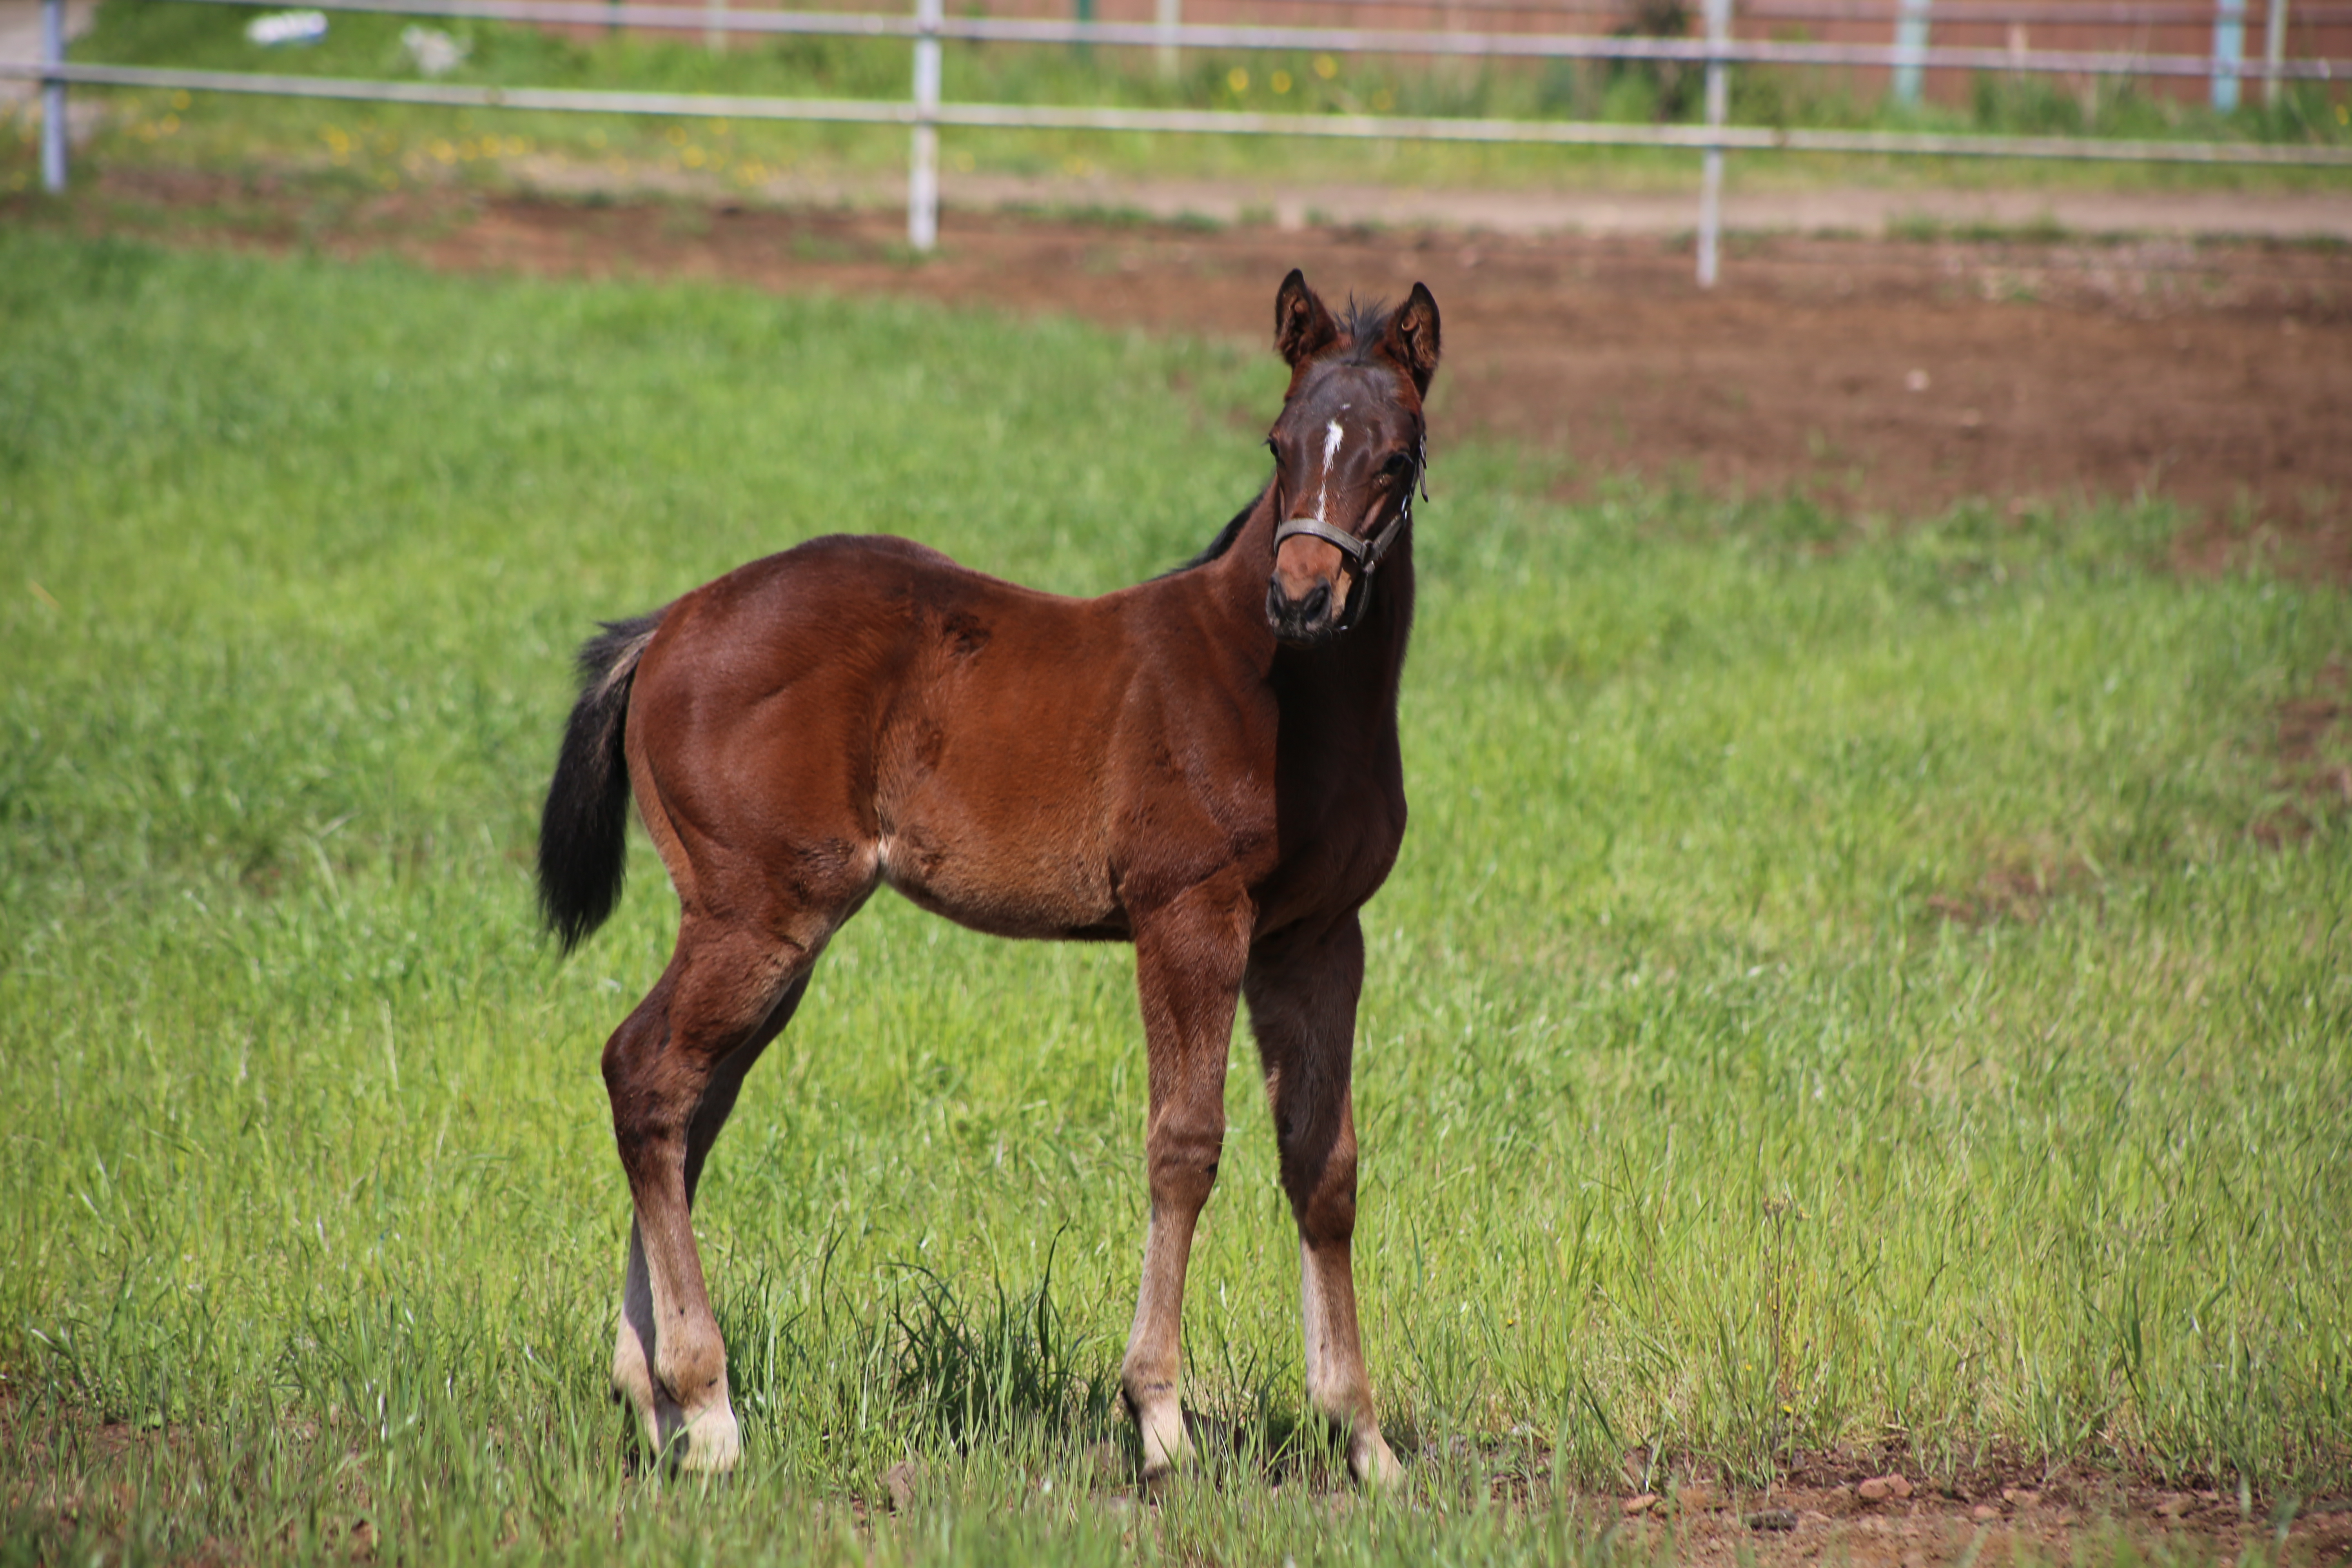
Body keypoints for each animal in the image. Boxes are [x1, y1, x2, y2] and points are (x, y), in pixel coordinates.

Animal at [536, 267, 1439, 1486]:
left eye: (1394, 455)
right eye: (1279, 443)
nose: (1299, 596)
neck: (1280, 692)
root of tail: (667, 623)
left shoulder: (1320, 935)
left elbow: (1324, 1163)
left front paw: (1362, 1437)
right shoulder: (1188, 914)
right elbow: (1185, 1145)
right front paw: (1159, 1420)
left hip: (767, 928)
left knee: (684, 1103)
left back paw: (654, 1401)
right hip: (758, 909)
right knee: (646, 1075)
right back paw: (707, 1408)